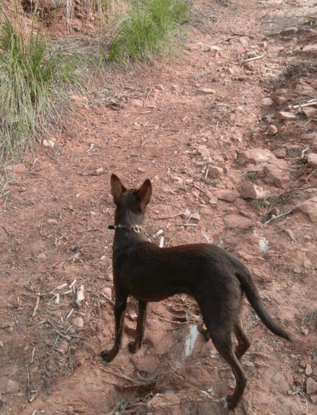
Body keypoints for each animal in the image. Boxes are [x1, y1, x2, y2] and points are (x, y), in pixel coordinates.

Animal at [102, 174, 290, 412]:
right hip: (228, 313)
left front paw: (110, 356)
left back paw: (231, 402)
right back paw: (230, 361)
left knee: (242, 375)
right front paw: (135, 348)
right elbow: (140, 328)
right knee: (244, 343)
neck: (130, 233)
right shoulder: (143, 300)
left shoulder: (120, 299)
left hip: (216, 321)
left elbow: (117, 333)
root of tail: (235, 263)